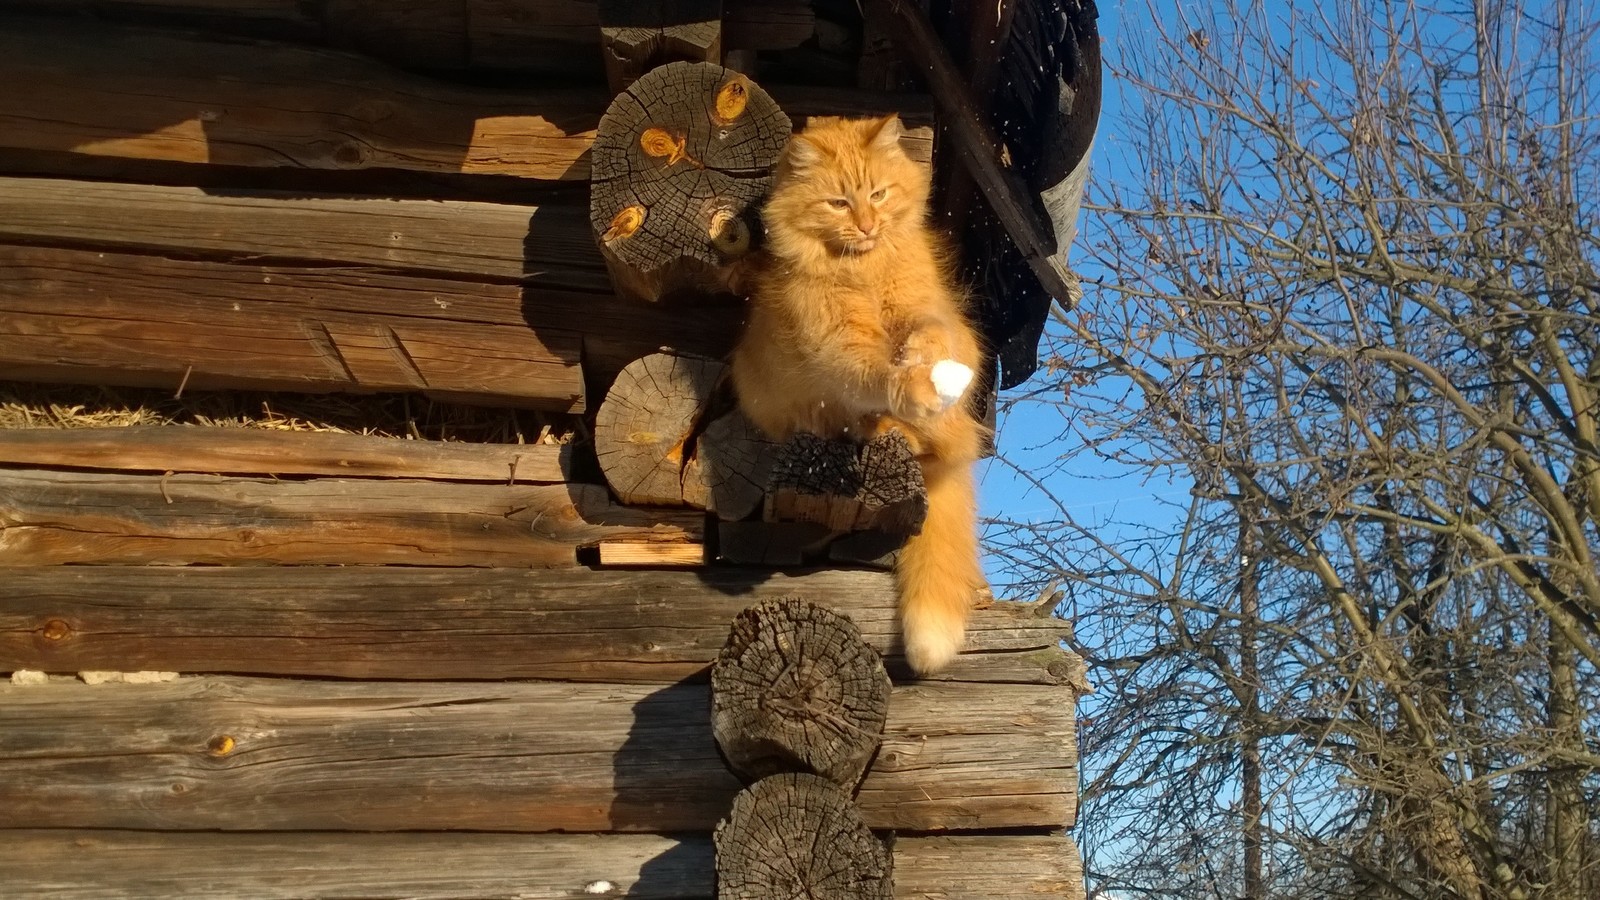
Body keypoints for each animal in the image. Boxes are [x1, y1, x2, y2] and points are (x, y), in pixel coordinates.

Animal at [729, 113, 979, 672]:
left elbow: (929, 331)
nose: (866, 226)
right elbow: (878, 376)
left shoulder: (923, 307)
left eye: (879, 194)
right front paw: (907, 384)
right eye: (839, 203)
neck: (864, 268)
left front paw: (920, 360)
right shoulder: (841, 344)